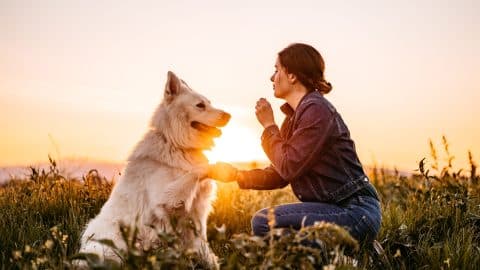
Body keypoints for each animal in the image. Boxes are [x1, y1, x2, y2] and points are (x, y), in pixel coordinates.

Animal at [78, 71, 229, 268]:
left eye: (209, 103)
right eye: (200, 105)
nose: (229, 116)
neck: (176, 144)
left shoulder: (198, 213)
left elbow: (204, 248)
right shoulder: (167, 201)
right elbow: (196, 170)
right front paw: (217, 167)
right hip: (115, 242)